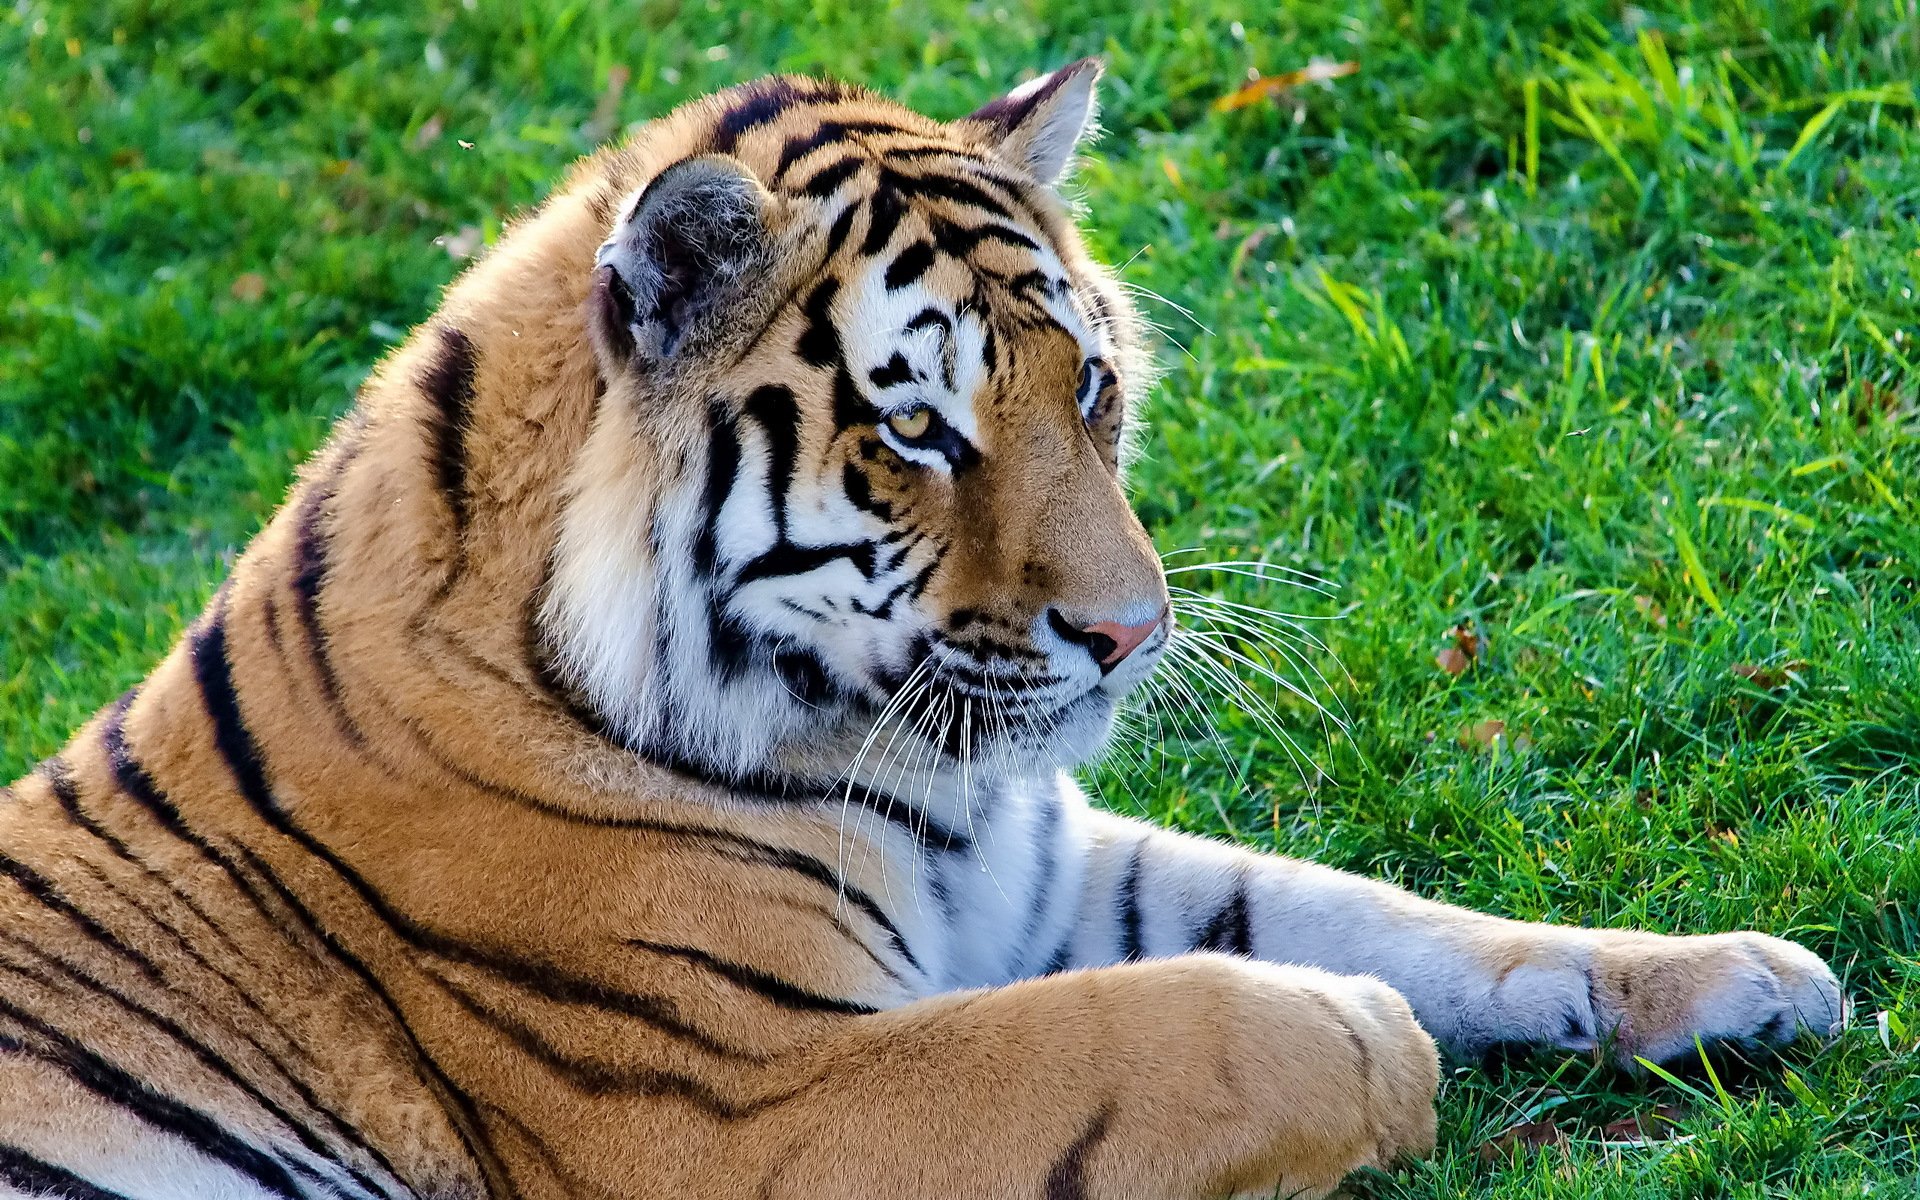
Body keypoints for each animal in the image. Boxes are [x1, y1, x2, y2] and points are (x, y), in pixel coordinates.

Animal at [0, 60, 1846, 1200]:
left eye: (1088, 386)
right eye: (919, 432)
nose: (1133, 633)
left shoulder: (1041, 867)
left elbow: (1393, 916)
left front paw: (1741, 977)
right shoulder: (732, 1107)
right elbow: (1184, 1018)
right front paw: (1363, 1043)